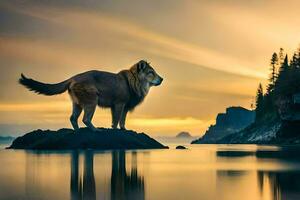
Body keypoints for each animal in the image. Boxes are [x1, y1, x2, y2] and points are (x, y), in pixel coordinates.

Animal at [19, 59, 163, 131]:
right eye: (151, 72)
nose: (162, 79)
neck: (135, 83)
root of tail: (73, 77)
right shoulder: (118, 104)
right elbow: (116, 120)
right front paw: (115, 130)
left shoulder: (124, 107)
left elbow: (122, 120)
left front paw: (124, 129)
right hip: (92, 101)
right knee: (85, 119)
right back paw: (96, 130)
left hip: (77, 104)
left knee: (73, 118)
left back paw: (77, 132)